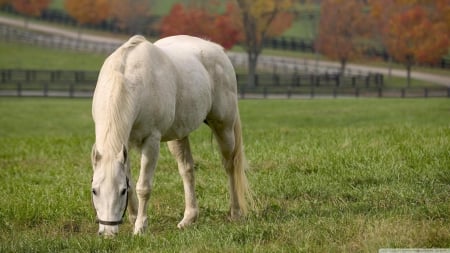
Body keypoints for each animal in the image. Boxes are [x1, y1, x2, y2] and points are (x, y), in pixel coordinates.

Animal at [90, 35, 253, 235]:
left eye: (121, 191)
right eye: (94, 190)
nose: (108, 232)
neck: (130, 80)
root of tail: (218, 50)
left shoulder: (151, 142)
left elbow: (143, 187)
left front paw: (140, 227)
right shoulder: (124, 144)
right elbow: (132, 182)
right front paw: (134, 218)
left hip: (224, 127)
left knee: (230, 166)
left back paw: (235, 212)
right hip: (179, 135)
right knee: (187, 170)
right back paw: (189, 218)